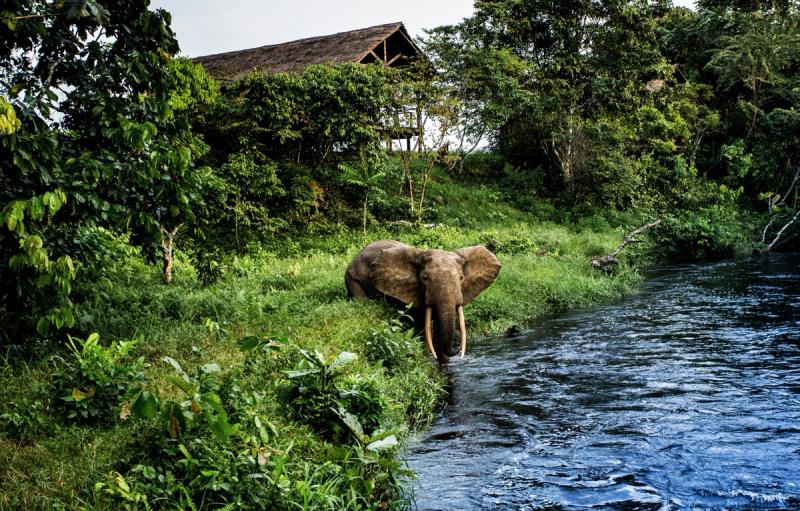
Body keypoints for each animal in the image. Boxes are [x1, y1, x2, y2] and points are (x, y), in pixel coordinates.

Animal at [345, 240, 501, 363]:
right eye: (424, 278)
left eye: (461, 278)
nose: (456, 349)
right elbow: (421, 327)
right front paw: (427, 360)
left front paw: (444, 363)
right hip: (353, 279)